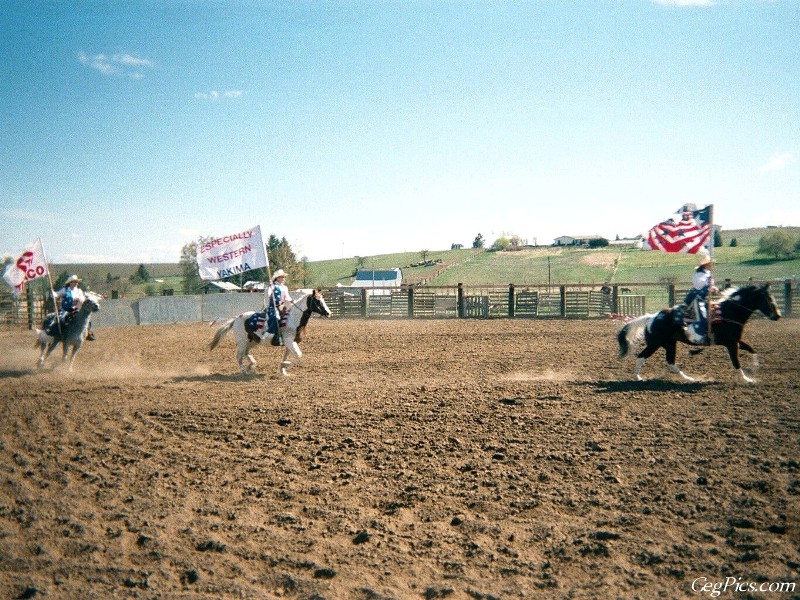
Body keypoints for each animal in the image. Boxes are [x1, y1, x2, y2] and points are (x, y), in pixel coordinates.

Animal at [620, 284, 780, 382]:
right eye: (767, 298)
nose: (777, 315)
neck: (728, 312)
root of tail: (652, 317)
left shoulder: (736, 341)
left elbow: (751, 349)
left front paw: (754, 368)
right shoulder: (731, 343)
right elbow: (736, 362)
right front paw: (747, 379)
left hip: (670, 344)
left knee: (671, 362)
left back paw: (688, 378)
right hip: (655, 343)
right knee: (641, 357)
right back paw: (637, 377)